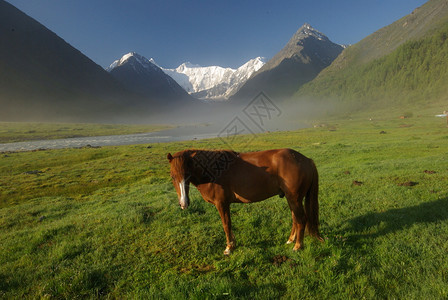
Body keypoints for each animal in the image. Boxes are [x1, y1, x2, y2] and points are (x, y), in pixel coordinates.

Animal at [167, 149, 322, 254]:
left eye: (187, 175)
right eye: (173, 176)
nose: (184, 204)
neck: (215, 170)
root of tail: (306, 160)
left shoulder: (222, 204)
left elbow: (226, 225)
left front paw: (229, 247)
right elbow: (228, 224)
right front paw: (233, 244)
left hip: (295, 199)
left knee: (301, 220)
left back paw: (298, 246)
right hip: (292, 200)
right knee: (295, 218)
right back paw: (290, 240)